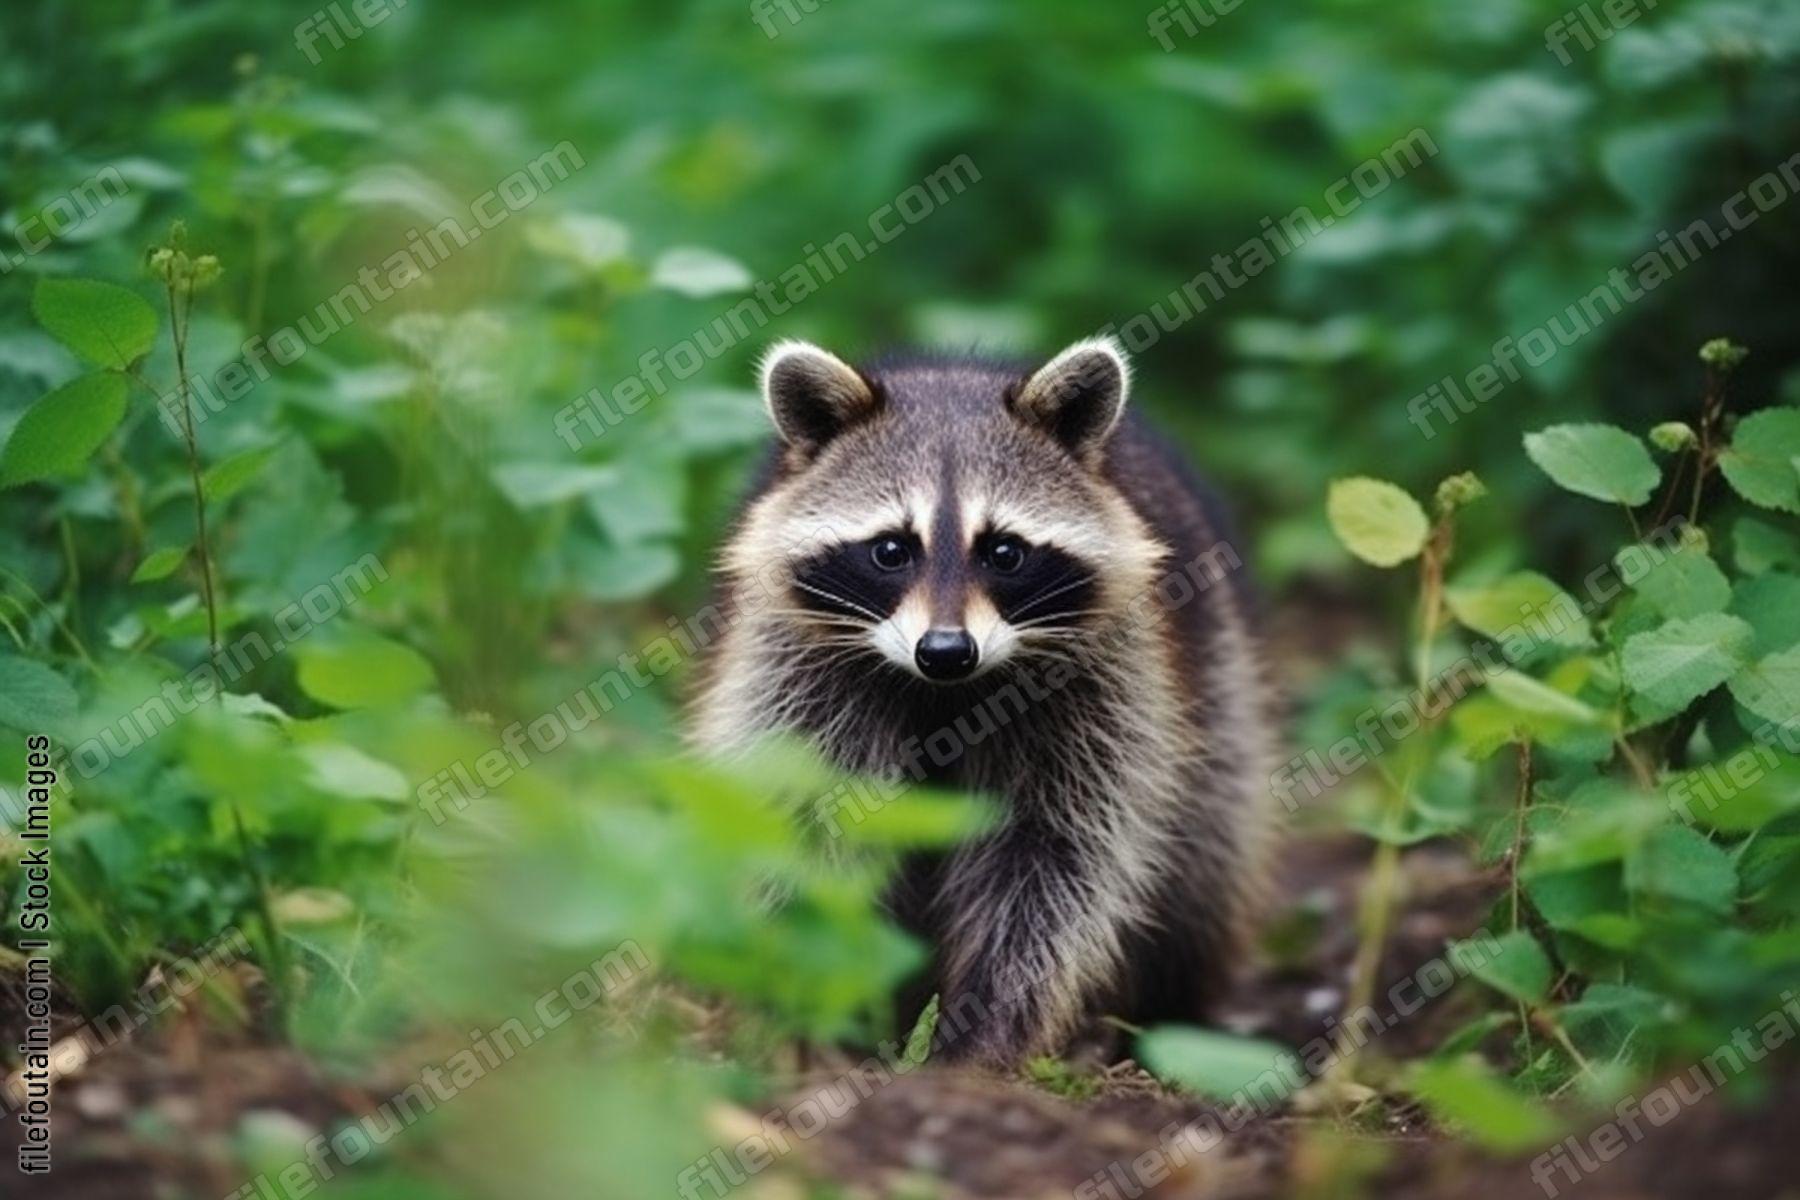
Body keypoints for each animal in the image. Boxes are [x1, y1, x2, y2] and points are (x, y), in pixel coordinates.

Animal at [690, 336, 1275, 1066]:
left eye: (1004, 552)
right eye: (891, 550)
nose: (946, 650)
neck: (943, 693)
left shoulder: (1105, 689)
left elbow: (1055, 863)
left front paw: (985, 1031)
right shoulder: (795, 671)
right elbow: (806, 821)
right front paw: (803, 1004)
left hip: (1221, 681)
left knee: (1208, 851)